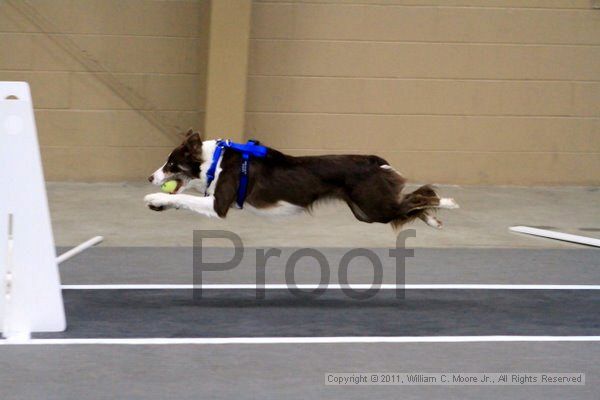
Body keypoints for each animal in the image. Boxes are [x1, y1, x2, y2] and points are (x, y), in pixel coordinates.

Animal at [146, 130, 460, 228]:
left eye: (171, 164)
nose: (150, 177)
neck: (215, 160)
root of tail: (376, 161)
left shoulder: (219, 204)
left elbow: (185, 198)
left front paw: (153, 196)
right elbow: (180, 199)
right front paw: (159, 203)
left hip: (373, 207)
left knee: (421, 197)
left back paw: (448, 203)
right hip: (367, 212)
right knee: (411, 202)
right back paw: (433, 218)